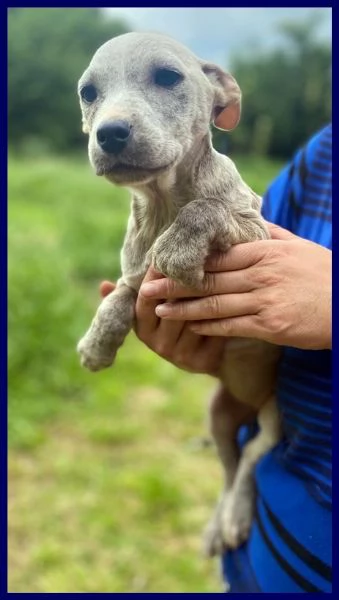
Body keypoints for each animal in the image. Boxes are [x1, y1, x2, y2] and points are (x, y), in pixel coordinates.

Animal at [77, 32, 282, 556]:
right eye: (89, 92)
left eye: (168, 77)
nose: (109, 133)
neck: (164, 202)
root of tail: (248, 404)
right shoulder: (135, 279)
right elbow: (117, 299)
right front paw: (96, 344)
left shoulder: (262, 239)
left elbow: (208, 207)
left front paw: (180, 248)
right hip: (218, 415)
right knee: (230, 465)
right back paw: (215, 526)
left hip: (274, 417)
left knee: (252, 458)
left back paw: (234, 519)